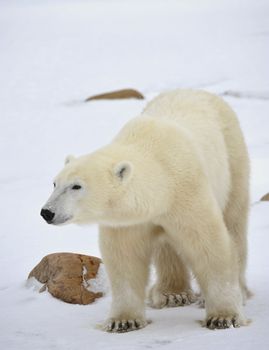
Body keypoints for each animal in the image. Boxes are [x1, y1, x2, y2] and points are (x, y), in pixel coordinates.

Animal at [40, 89, 249, 330]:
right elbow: (125, 258)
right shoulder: (127, 219)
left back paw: (239, 289)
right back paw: (172, 294)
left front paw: (224, 317)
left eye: (76, 186)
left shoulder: (187, 192)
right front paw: (123, 321)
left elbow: (209, 245)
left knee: (234, 220)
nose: (47, 212)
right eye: (54, 183)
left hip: (233, 156)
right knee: (166, 246)